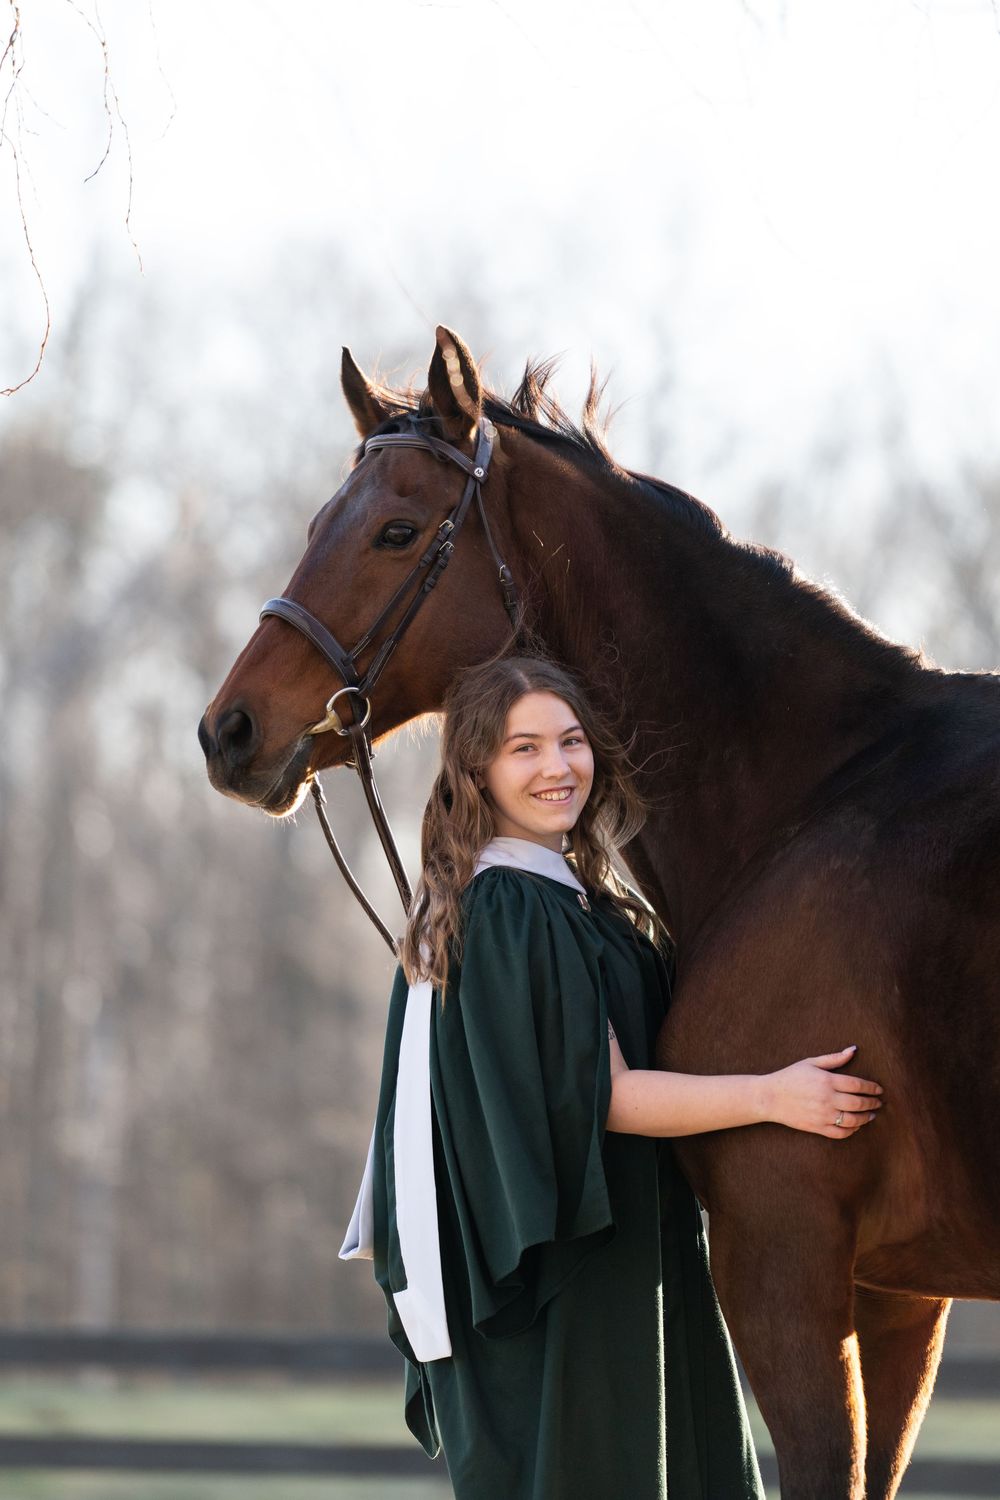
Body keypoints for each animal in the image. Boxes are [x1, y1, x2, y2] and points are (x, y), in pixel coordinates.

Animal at [198, 325, 1000, 1499]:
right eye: (316, 527)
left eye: (397, 531)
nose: (230, 730)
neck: (819, 790)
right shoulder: (900, 1297)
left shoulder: (787, 1262)